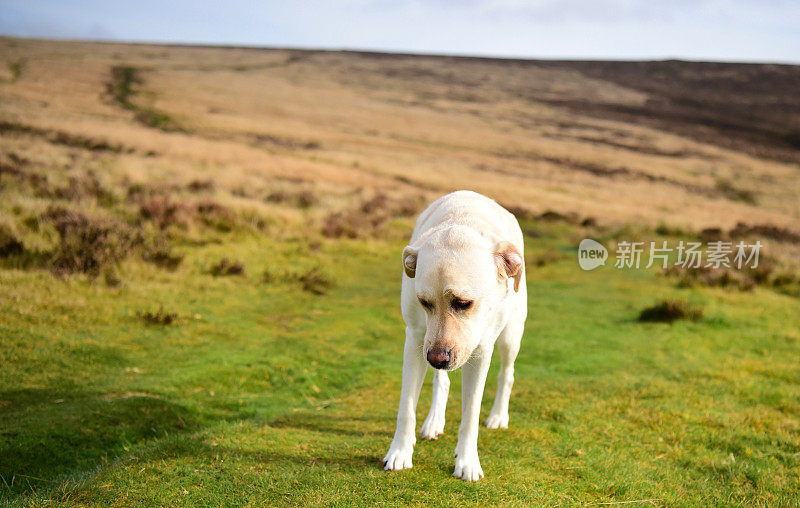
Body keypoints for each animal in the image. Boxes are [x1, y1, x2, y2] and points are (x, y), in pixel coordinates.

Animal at [384, 190, 528, 480]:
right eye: (424, 302)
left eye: (464, 303)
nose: (437, 359)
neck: (461, 220)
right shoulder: (416, 340)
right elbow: (406, 406)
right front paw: (400, 452)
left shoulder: (481, 351)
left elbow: (470, 413)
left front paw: (467, 461)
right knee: (442, 380)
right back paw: (434, 421)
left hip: (511, 334)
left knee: (507, 373)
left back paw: (498, 416)